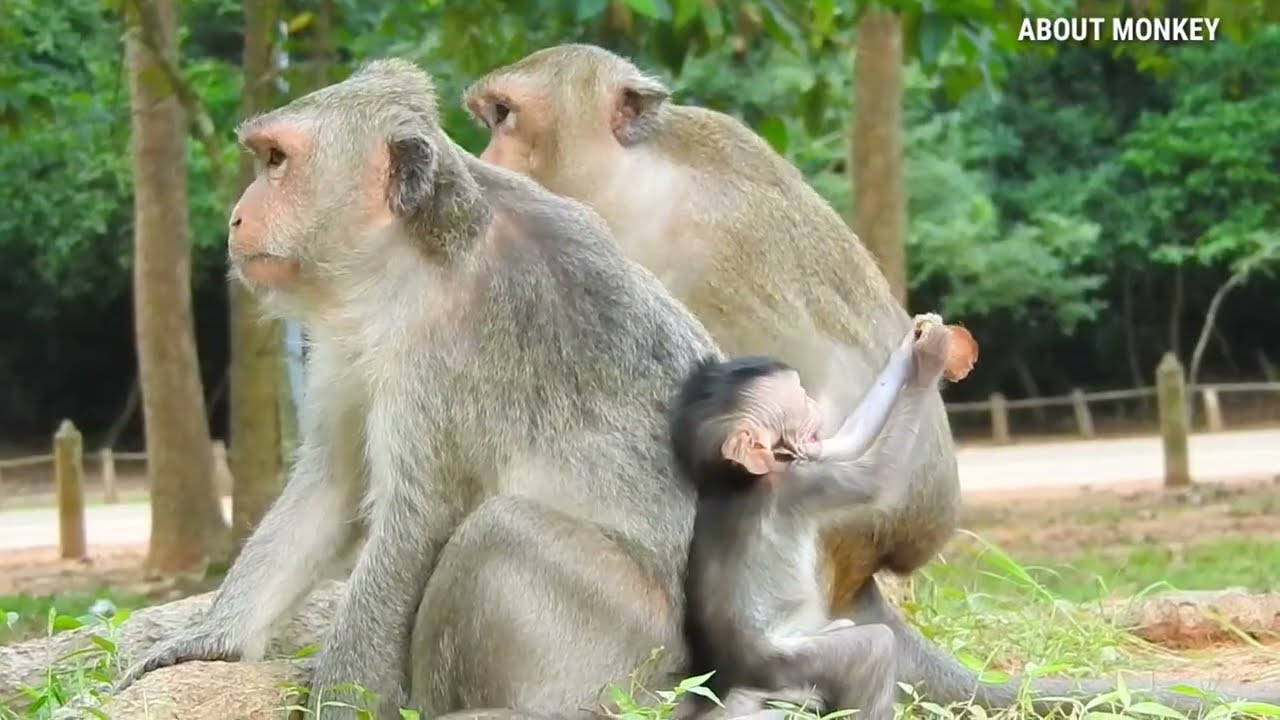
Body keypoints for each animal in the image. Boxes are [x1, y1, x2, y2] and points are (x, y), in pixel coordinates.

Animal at [110, 58, 727, 720]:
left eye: (276, 160)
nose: (237, 216)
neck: (412, 265)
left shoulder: (449, 362)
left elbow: (415, 525)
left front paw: (339, 703)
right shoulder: (346, 340)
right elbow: (333, 482)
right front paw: (209, 641)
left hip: (625, 650)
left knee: (501, 529)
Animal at [671, 315, 964, 720]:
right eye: (797, 400)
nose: (812, 401)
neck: (738, 480)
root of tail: (737, 676)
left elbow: (847, 438)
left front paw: (912, 348)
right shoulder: (802, 484)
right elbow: (877, 480)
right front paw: (927, 365)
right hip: (788, 662)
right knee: (874, 646)